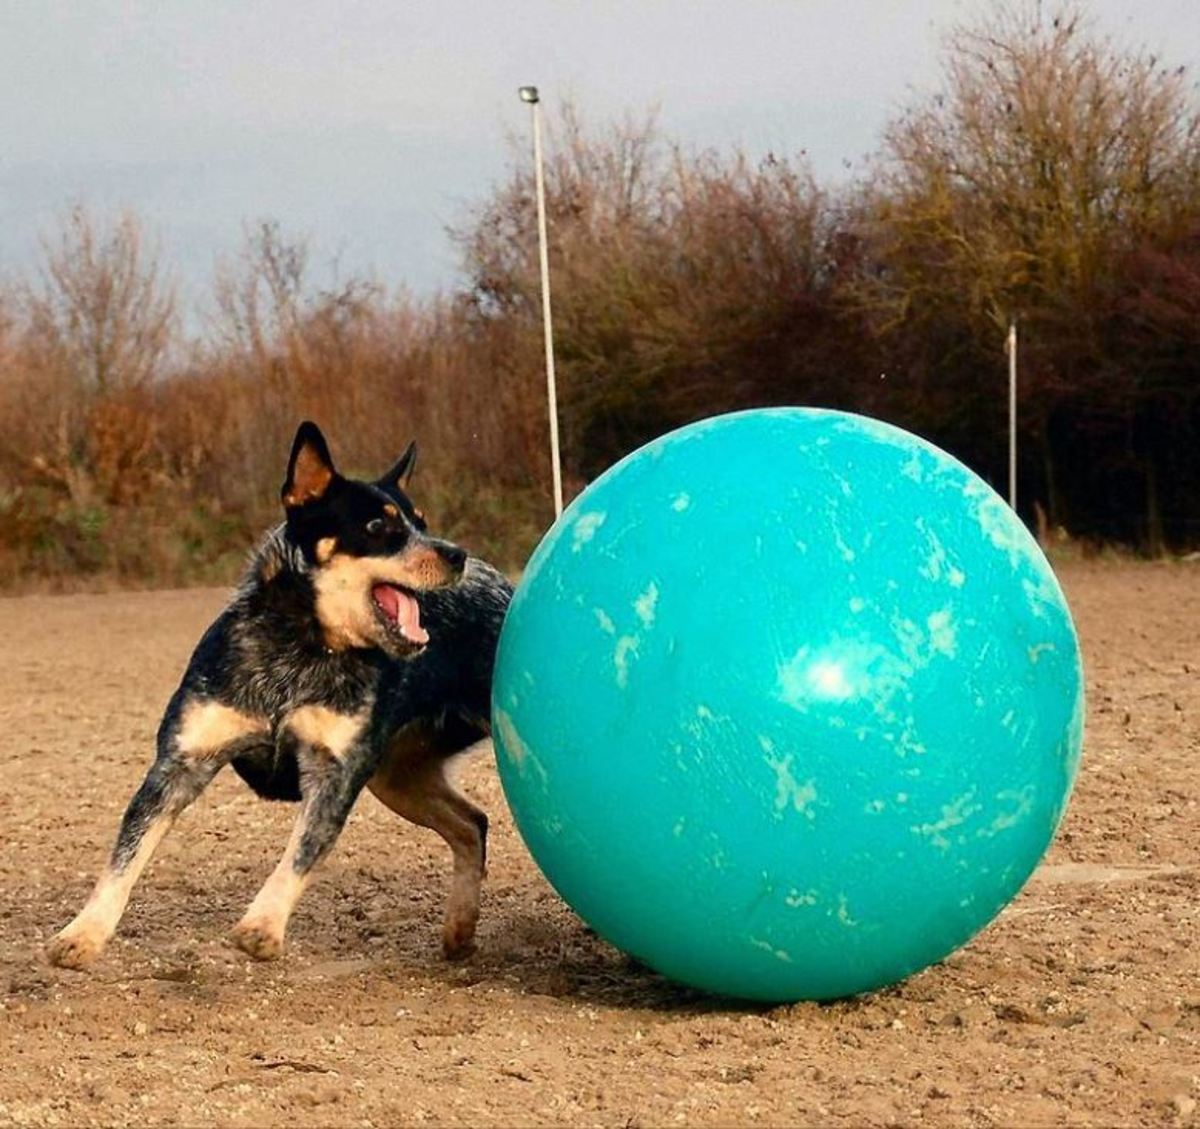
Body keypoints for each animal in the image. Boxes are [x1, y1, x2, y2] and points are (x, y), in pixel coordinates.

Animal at [46, 417, 513, 964]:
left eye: (421, 521)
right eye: (379, 528)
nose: (456, 553)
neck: (301, 647)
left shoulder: (334, 774)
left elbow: (301, 854)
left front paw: (262, 925)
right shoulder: (180, 763)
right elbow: (126, 854)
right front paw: (83, 932)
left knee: (474, 823)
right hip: (398, 777)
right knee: (471, 823)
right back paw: (459, 929)